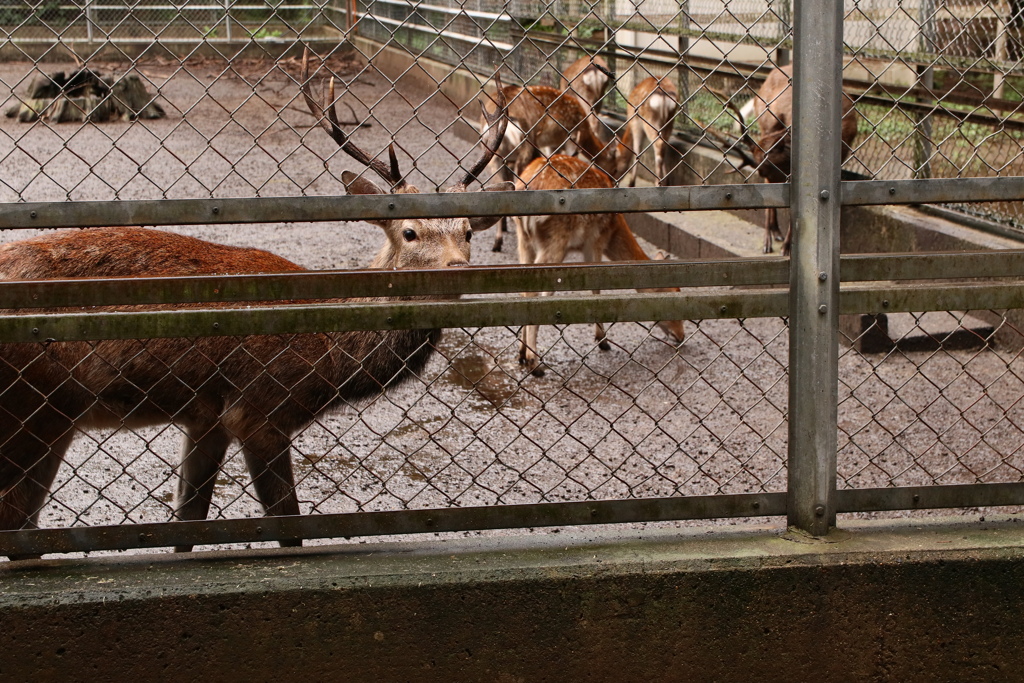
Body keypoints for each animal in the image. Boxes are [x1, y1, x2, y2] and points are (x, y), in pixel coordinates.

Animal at [0, 52, 512, 557]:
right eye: (409, 232)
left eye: (468, 231)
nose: (457, 267)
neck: (327, 352)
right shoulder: (259, 408)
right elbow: (289, 527)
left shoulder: (207, 416)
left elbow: (188, 521)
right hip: (39, 405)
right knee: (18, 518)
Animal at [512, 154, 688, 376]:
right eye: (673, 293)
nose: (681, 336)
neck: (614, 229)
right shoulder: (595, 239)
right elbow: (596, 288)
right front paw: (603, 341)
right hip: (556, 238)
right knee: (535, 293)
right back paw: (535, 363)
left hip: (524, 240)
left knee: (524, 289)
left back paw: (521, 354)